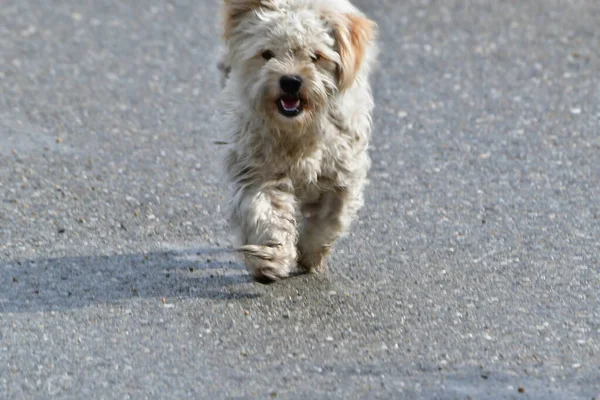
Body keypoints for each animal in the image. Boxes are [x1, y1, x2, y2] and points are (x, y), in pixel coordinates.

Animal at [218, 0, 378, 282]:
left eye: (316, 56)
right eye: (268, 54)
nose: (290, 80)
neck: (296, 131)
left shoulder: (341, 175)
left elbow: (329, 219)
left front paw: (311, 254)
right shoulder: (256, 170)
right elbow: (265, 211)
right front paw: (271, 257)